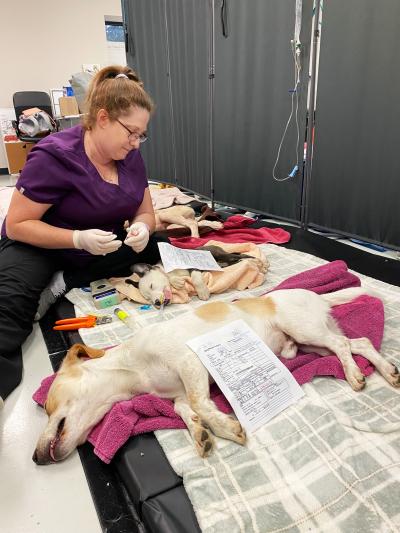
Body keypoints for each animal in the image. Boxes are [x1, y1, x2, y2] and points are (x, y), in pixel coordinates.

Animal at [32, 284, 400, 464]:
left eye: (48, 407)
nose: (35, 458)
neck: (134, 371)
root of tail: (316, 297)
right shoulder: (179, 393)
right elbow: (186, 410)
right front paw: (202, 433)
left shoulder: (189, 363)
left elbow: (199, 402)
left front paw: (224, 427)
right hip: (313, 343)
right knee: (359, 343)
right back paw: (386, 371)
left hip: (305, 329)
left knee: (342, 345)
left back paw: (354, 375)